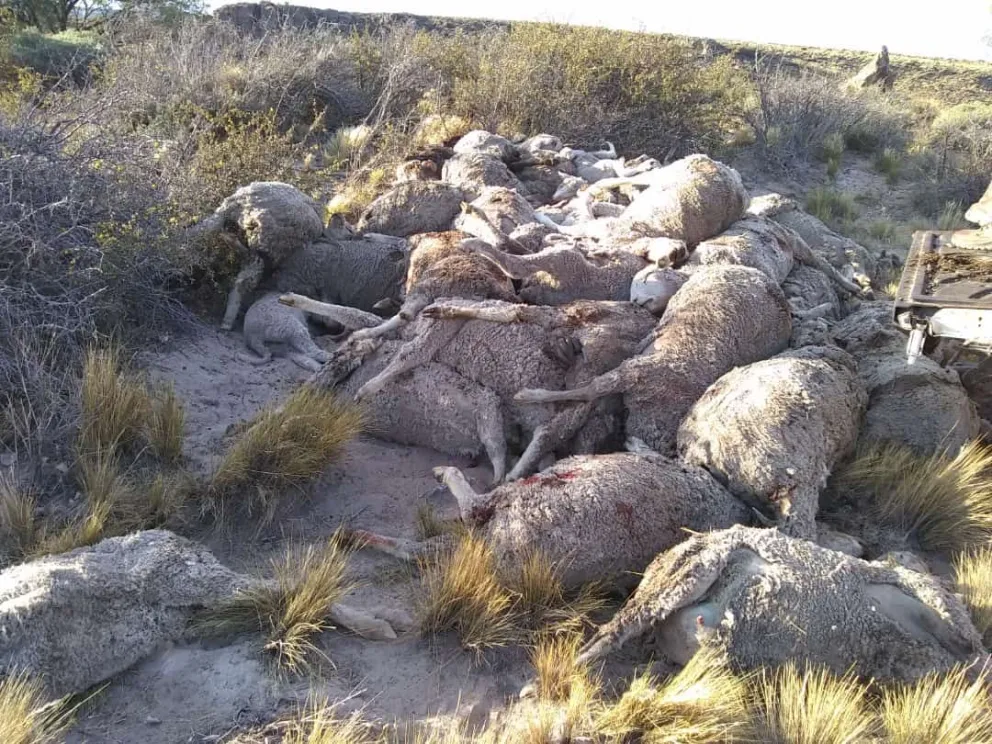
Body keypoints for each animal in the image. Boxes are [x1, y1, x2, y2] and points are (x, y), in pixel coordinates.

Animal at [185, 181, 325, 330]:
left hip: (244, 231)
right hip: (264, 246)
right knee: (243, 281)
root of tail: (244, 201)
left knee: (207, 233)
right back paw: (228, 321)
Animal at [515, 265, 793, 453]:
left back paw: (529, 395)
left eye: (647, 277)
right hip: (647, 412)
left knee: (592, 389)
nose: (636, 300)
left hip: (636, 372)